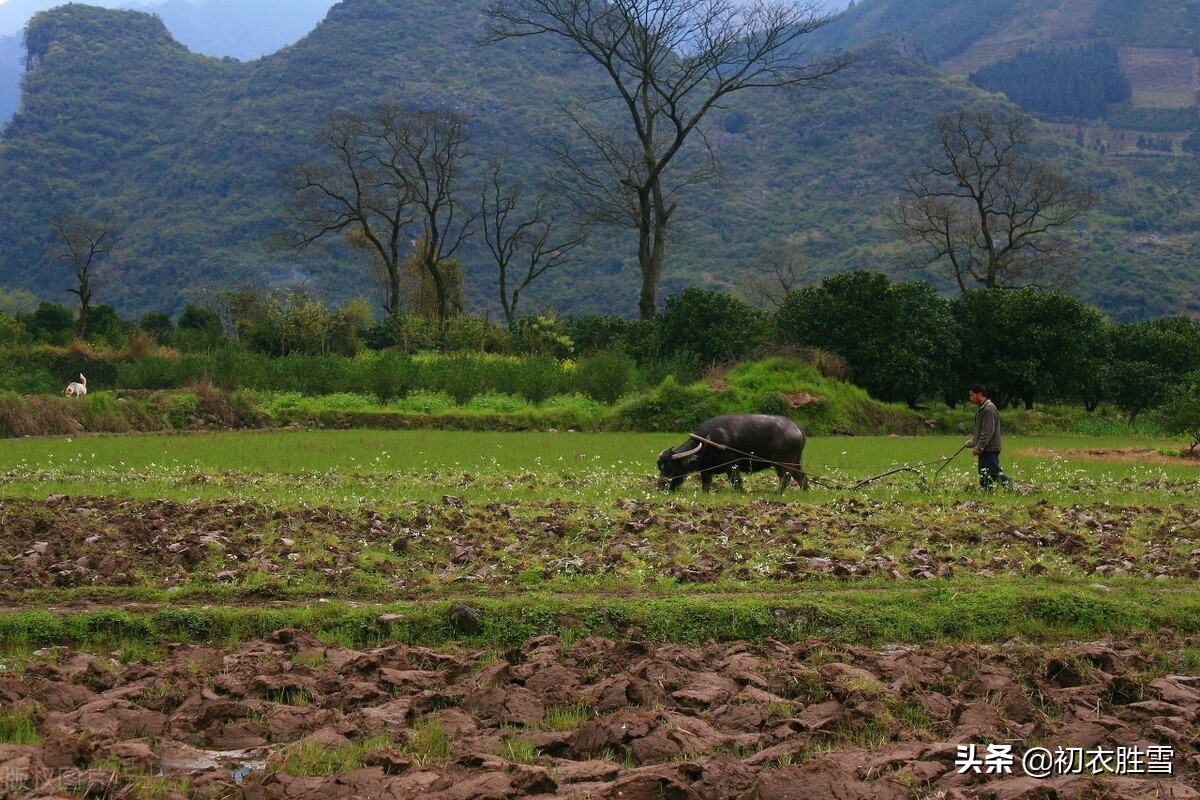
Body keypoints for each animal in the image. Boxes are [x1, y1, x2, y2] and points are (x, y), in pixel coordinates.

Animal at [657, 417, 806, 491]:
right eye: (660, 468)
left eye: (670, 467)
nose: (660, 487)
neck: (707, 443)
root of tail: (796, 427)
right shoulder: (705, 470)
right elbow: (705, 485)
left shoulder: (732, 466)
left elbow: (736, 482)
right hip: (794, 461)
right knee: (801, 477)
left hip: (781, 462)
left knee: (786, 478)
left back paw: (777, 493)